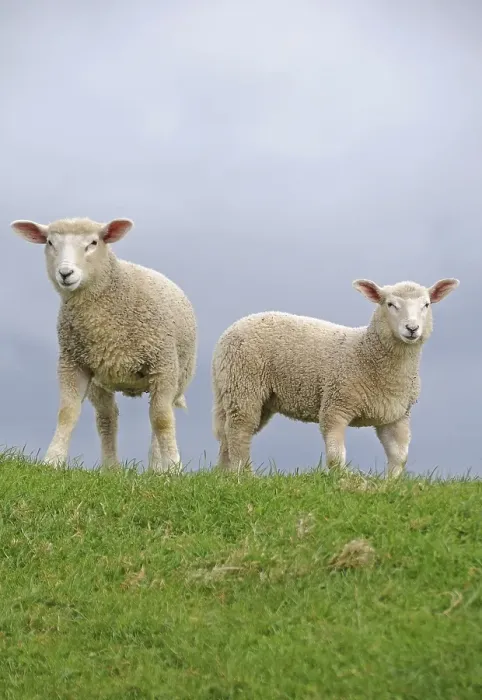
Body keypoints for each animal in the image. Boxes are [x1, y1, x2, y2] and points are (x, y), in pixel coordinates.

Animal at [11, 217, 197, 472]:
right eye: (49, 242)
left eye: (93, 243)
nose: (65, 273)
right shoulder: (72, 363)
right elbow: (67, 413)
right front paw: (52, 461)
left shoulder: (164, 366)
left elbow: (161, 419)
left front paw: (173, 468)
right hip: (99, 382)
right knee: (107, 419)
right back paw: (111, 468)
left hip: (180, 375)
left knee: (159, 416)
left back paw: (156, 467)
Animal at [211, 278, 459, 478]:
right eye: (390, 304)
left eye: (426, 305)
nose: (412, 328)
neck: (368, 353)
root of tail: (230, 330)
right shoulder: (336, 404)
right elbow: (336, 455)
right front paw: (341, 481)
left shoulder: (396, 415)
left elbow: (399, 456)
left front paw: (392, 485)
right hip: (244, 385)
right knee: (240, 430)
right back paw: (244, 475)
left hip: (245, 394)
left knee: (227, 433)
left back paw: (225, 474)